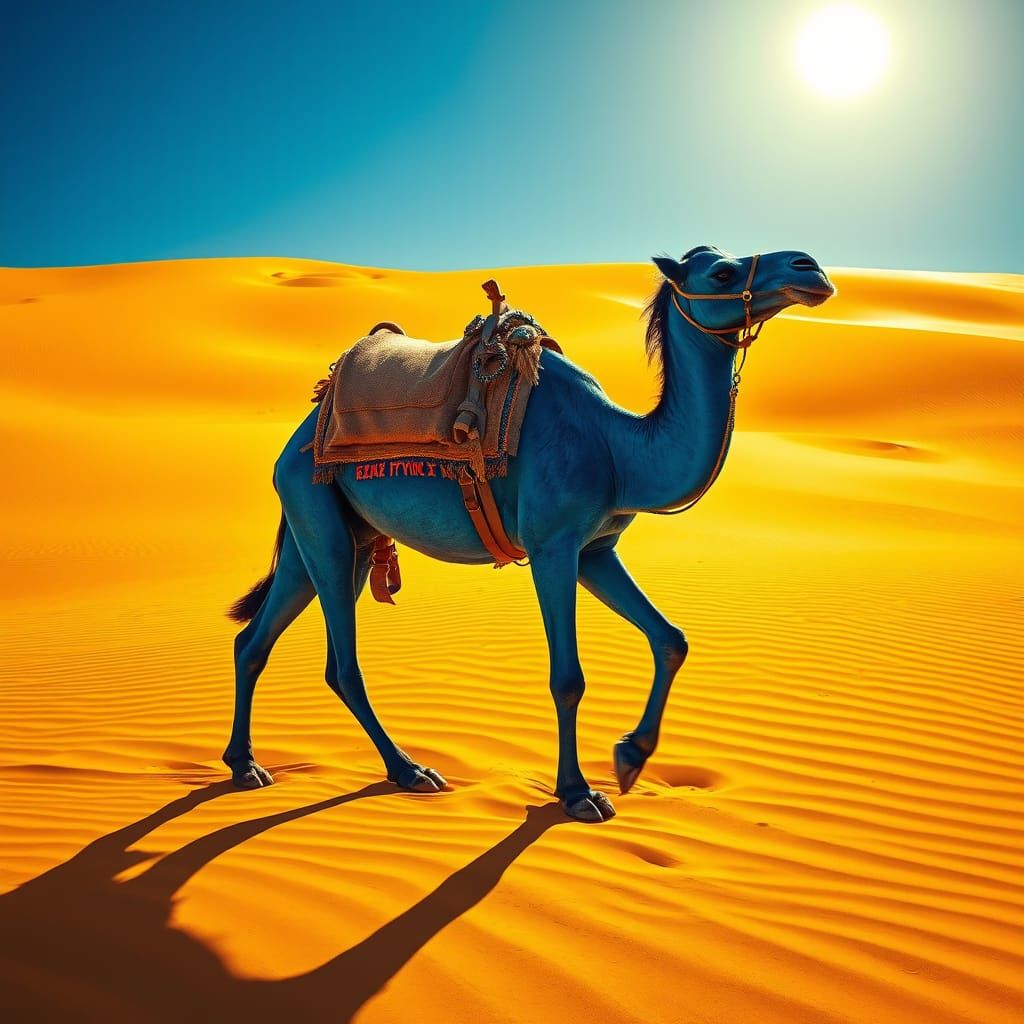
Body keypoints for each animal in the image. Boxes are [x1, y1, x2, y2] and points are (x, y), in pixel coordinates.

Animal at [224, 246, 834, 822]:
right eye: (722, 274)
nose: (810, 268)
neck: (618, 448)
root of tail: (300, 433)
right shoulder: (551, 546)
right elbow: (568, 678)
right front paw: (579, 793)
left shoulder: (596, 550)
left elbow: (671, 638)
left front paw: (630, 758)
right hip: (317, 514)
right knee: (342, 663)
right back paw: (409, 770)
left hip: (334, 531)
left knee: (257, 638)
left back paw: (245, 764)